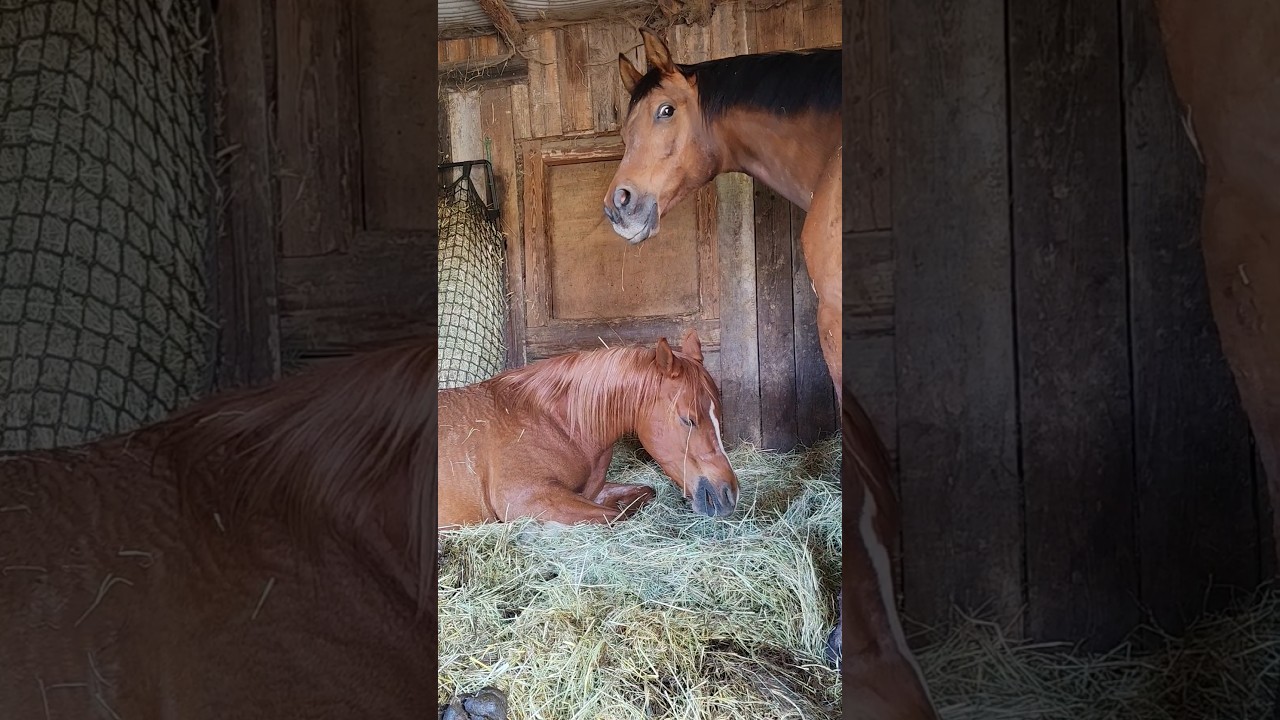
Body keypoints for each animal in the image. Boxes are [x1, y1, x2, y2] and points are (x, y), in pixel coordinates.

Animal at [437, 329, 737, 528]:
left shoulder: (591, 491)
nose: (728, 495)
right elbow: (615, 515)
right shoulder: (527, 498)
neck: (554, 423)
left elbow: (644, 492)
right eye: (688, 419)